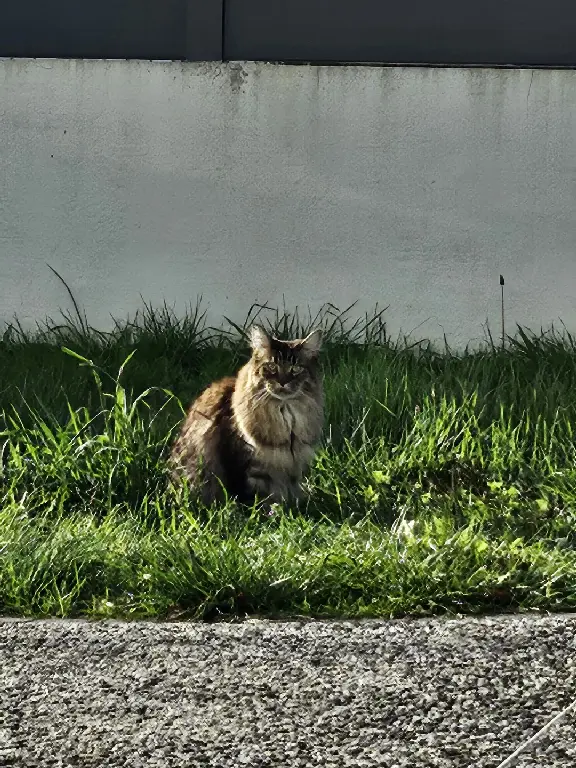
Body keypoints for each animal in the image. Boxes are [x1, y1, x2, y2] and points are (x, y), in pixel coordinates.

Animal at [170, 328, 324, 508]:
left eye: (296, 368)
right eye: (271, 366)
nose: (283, 382)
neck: (284, 414)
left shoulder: (293, 467)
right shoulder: (244, 466)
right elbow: (254, 501)